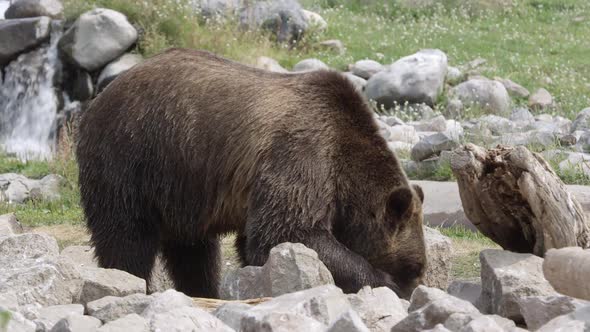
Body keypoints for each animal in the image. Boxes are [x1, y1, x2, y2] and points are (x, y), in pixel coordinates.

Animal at [76, 48, 428, 300]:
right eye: (413, 267)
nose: (412, 289)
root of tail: (99, 98)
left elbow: (259, 241)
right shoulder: (302, 153)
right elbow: (287, 231)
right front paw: (381, 281)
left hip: (182, 183)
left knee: (194, 251)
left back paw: (204, 291)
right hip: (132, 155)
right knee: (127, 236)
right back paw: (130, 282)